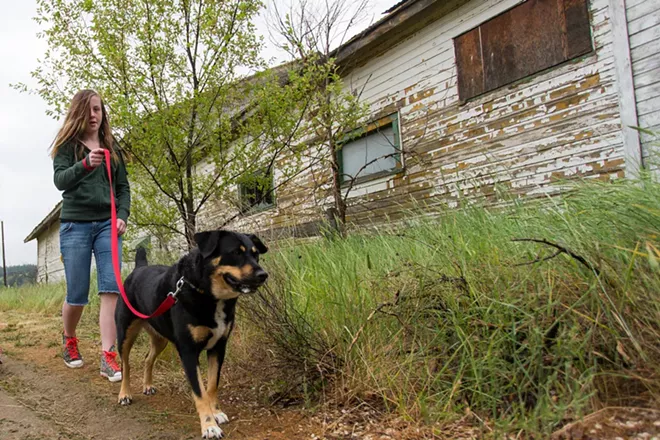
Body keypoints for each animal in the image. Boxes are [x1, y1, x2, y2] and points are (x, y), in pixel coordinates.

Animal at [115, 229, 268, 438]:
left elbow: (212, 385)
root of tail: (139, 268)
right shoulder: (188, 352)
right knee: (126, 365)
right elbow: (200, 393)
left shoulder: (218, 348)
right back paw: (124, 394)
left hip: (160, 339)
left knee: (148, 359)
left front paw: (216, 412)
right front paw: (209, 426)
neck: (206, 293)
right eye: (236, 252)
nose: (263, 275)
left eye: (256, 254)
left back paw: (147, 385)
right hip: (124, 334)